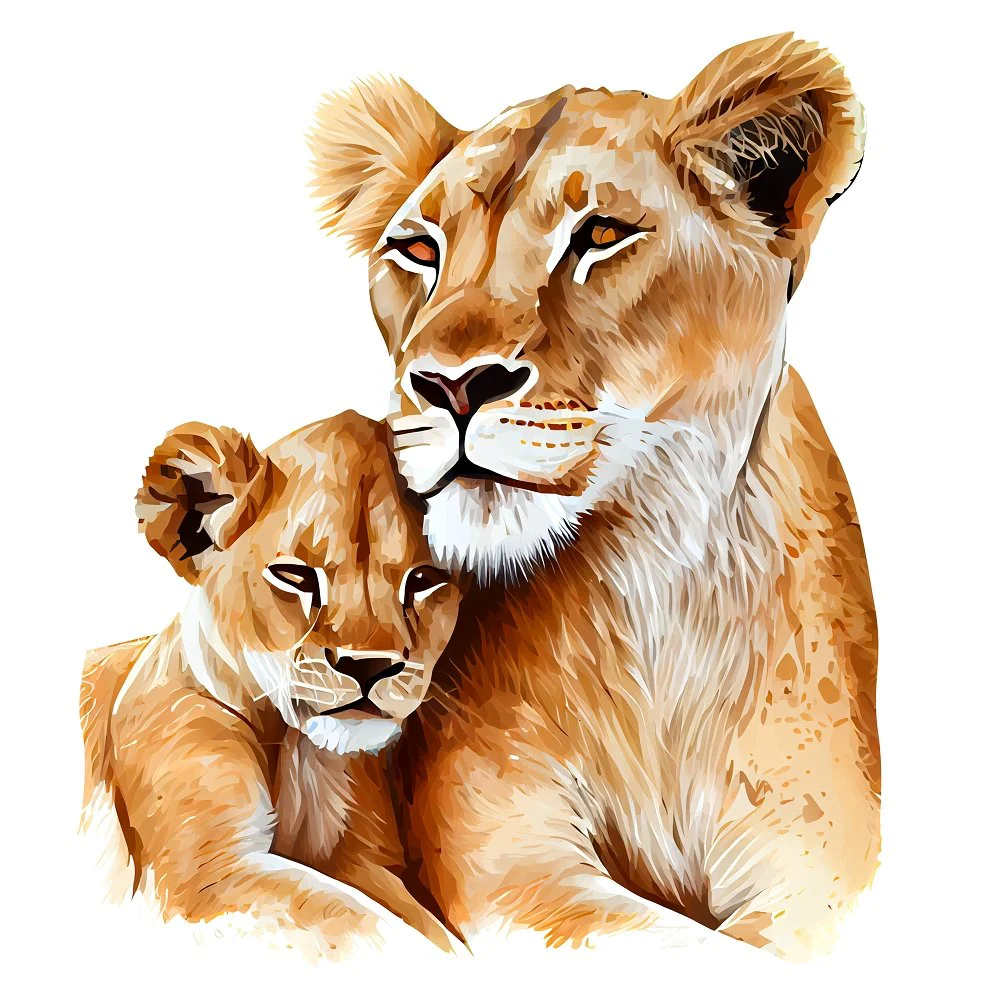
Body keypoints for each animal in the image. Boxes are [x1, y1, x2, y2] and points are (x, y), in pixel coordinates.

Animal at [80, 412, 461, 955]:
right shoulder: (209, 877)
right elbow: (368, 926)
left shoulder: (367, 864)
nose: (370, 668)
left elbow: (425, 930)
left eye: (425, 579)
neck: (298, 756)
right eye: (294, 577)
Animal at [309, 34, 879, 959]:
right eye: (419, 251)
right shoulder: (517, 865)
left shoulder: (819, 864)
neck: (657, 578)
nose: (450, 386)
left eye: (601, 235)